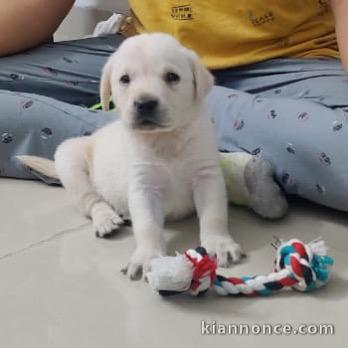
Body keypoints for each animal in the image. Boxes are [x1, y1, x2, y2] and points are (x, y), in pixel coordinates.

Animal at [19, 32, 242, 278]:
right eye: (125, 79)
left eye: (172, 77)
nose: (145, 103)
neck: (165, 139)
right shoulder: (142, 185)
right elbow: (147, 225)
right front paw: (147, 255)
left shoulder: (206, 176)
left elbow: (214, 215)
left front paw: (218, 244)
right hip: (69, 159)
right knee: (92, 201)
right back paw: (106, 219)